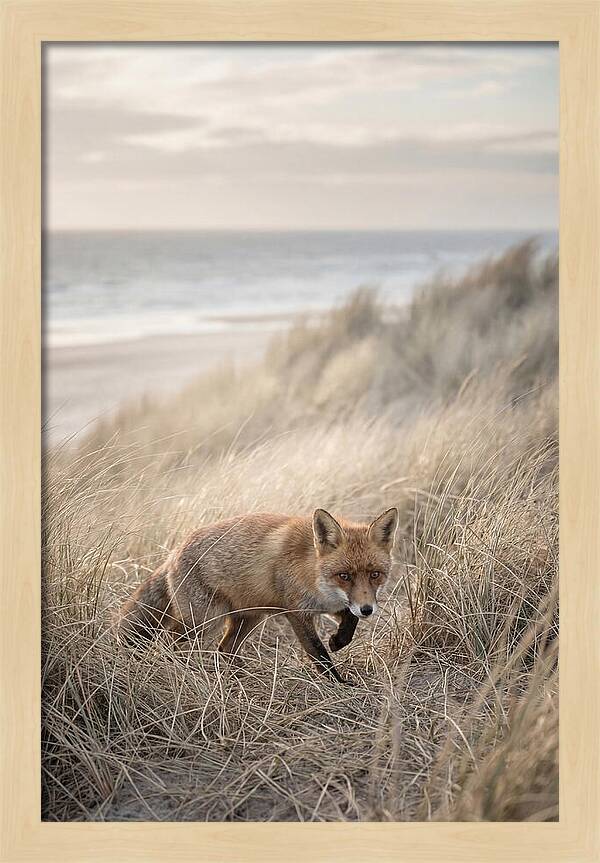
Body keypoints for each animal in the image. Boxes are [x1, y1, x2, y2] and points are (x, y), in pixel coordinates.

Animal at [117, 506, 398, 685]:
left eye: (375, 574)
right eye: (345, 576)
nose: (368, 609)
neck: (313, 571)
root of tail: (173, 552)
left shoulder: (334, 604)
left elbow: (350, 622)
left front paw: (338, 641)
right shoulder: (297, 612)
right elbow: (318, 653)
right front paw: (338, 683)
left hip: (248, 618)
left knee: (225, 649)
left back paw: (239, 677)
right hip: (204, 621)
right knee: (170, 643)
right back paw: (182, 671)